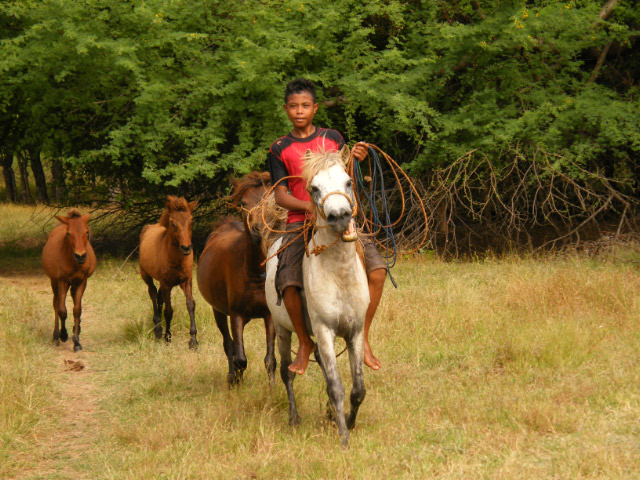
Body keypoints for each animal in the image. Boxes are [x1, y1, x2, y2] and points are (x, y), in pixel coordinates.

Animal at [42, 208, 97, 352]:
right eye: (68, 233)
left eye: (87, 232)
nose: (81, 256)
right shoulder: (62, 280)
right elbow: (62, 310)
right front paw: (64, 335)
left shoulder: (82, 281)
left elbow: (77, 310)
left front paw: (76, 341)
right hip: (54, 282)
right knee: (56, 303)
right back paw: (56, 336)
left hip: (73, 284)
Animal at [139, 196, 198, 348]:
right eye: (173, 223)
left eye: (191, 221)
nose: (186, 248)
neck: (176, 259)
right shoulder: (167, 284)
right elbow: (169, 310)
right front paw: (167, 336)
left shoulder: (186, 281)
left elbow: (190, 305)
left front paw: (193, 340)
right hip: (146, 276)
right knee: (153, 294)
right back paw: (158, 328)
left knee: (159, 297)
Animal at [197, 172, 277, 385]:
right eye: (243, 203)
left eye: (269, 200)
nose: (257, 229)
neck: (255, 274)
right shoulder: (236, 314)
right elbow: (239, 357)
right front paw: (236, 382)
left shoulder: (269, 315)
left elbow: (270, 360)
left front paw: (273, 389)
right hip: (218, 311)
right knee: (229, 345)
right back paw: (232, 378)